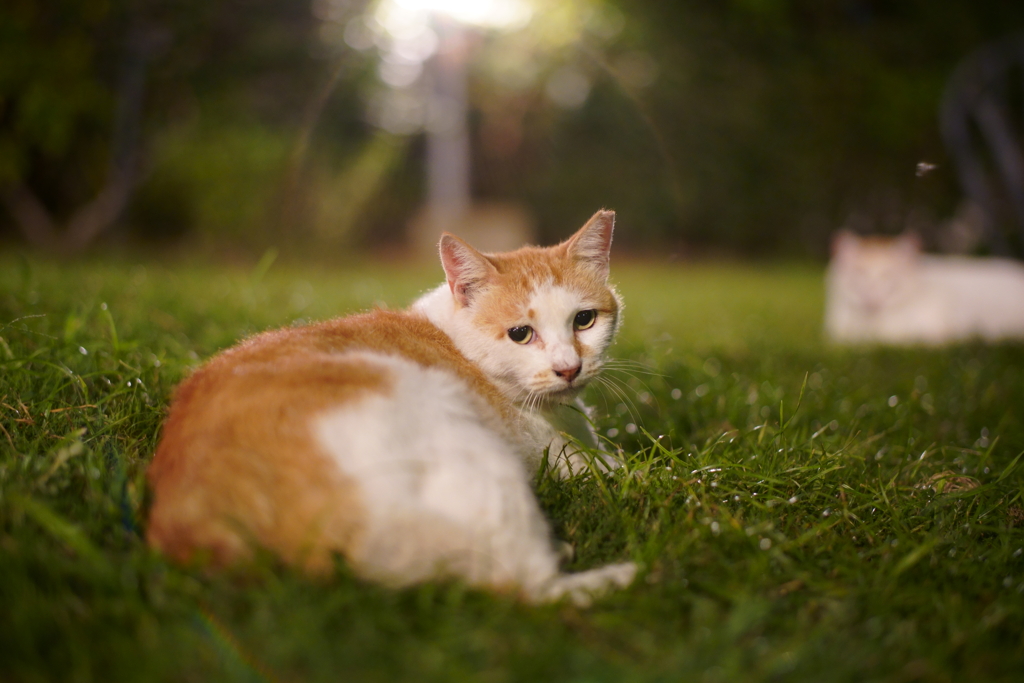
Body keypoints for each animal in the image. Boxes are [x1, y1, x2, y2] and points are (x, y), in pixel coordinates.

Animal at [148, 210, 634, 606]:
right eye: (520, 334)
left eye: (584, 320)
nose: (569, 368)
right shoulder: (564, 459)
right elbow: (637, 472)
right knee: (527, 584)